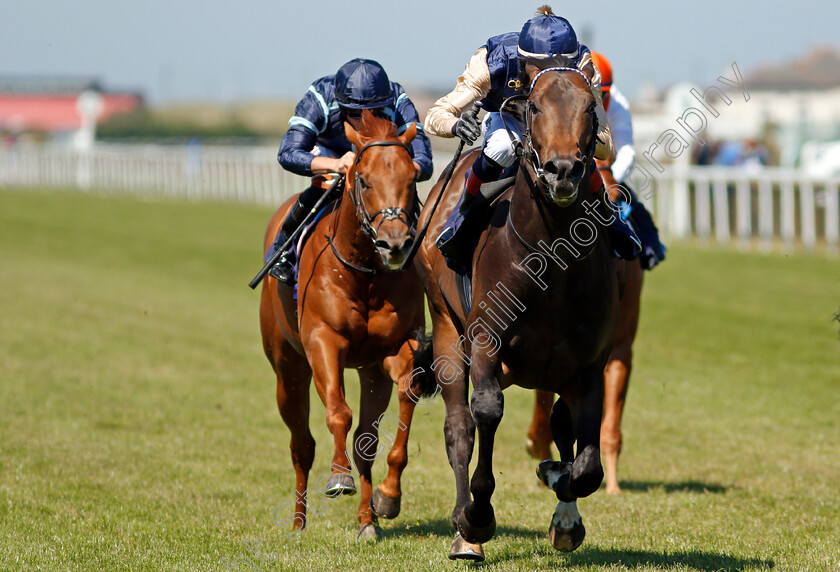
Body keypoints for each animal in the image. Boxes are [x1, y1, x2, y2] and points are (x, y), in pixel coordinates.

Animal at [260, 113, 436, 540]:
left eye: (412, 178)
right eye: (365, 180)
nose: (395, 244)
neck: (364, 272)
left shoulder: (393, 351)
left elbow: (404, 398)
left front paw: (387, 498)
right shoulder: (324, 342)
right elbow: (338, 412)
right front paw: (339, 477)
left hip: (370, 373)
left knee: (363, 444)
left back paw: (367, 521)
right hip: (287, 368)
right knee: (301, 444)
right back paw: (298, 523)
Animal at [416, 66, 620, 560]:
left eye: (590, 107)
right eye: (535, 107)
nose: (563, 170)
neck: (552, 261)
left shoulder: (588, 364)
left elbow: (586, 465)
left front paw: (561, 497)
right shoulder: (486, 341)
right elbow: (486, 412)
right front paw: (476, 517)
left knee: (561, 426)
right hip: (447, 328)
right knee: (460, 427)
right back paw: (463, 531)